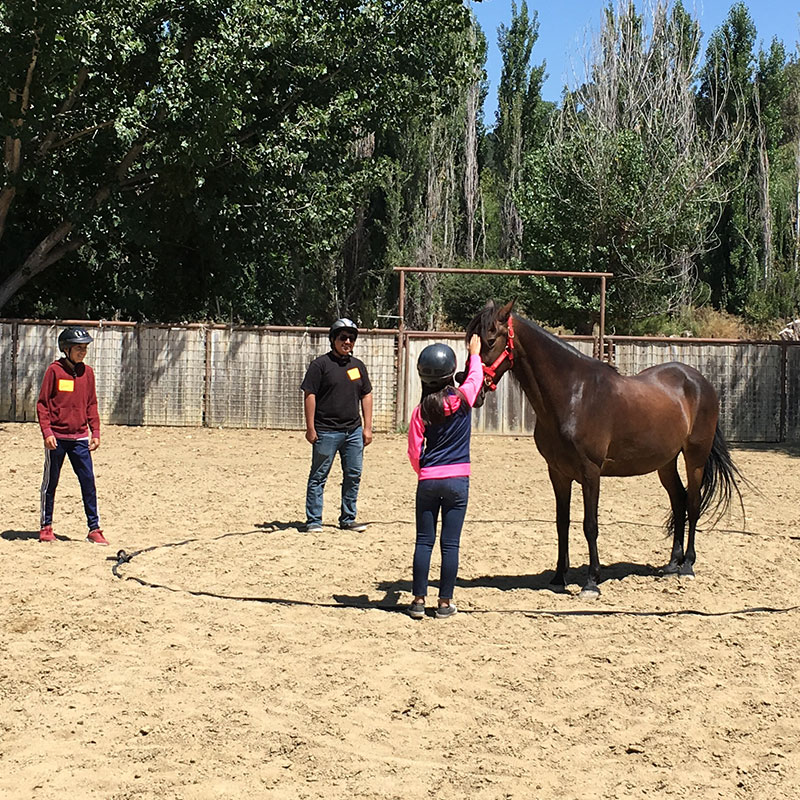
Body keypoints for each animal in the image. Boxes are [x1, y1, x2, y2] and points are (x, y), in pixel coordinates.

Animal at [466, 300, 748, 600]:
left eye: (490, 340)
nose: (467, 381)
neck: (573, 394)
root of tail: (700, 382)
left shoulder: (590, 472)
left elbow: (590, 525)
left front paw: (591, 582)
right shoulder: (558, 473)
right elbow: (561, 522)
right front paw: (558, 577)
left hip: (695, 458)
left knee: (693, 503)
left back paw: (687, 566)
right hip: (665, 462)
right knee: (679, 500)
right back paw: (672, 563)